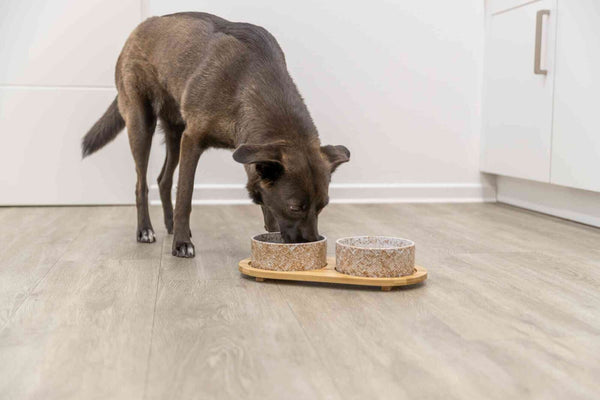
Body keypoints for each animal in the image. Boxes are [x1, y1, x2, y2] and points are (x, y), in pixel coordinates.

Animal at [82, 12, 350, 258]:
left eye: (323, 205)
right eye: (295, 207)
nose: (312, 243)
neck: (249, 80)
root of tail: (140, 27)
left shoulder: (246, 150)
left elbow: (264, 200)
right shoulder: (193, 141)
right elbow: (185, 196)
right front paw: (182, 244)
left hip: (175, 134)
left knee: (163, 179)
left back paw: (169, 224)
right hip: (142, 124)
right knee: (142, 184)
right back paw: (146, 230)